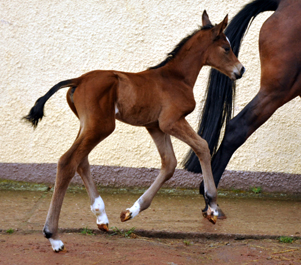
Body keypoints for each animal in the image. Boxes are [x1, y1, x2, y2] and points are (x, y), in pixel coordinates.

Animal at [23, 10, 244, 252]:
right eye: (226, 47)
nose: (240, 70)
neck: (176, 77)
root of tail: (78, 80)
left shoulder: (155, 126)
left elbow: (169, 163)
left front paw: (131, 211)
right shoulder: (170, 121)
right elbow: (202, 146)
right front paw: (212, 205)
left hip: (88, 125)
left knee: (81, 161)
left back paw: (101, 216)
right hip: (102, 126)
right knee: (67, 161)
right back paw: (53, 235)